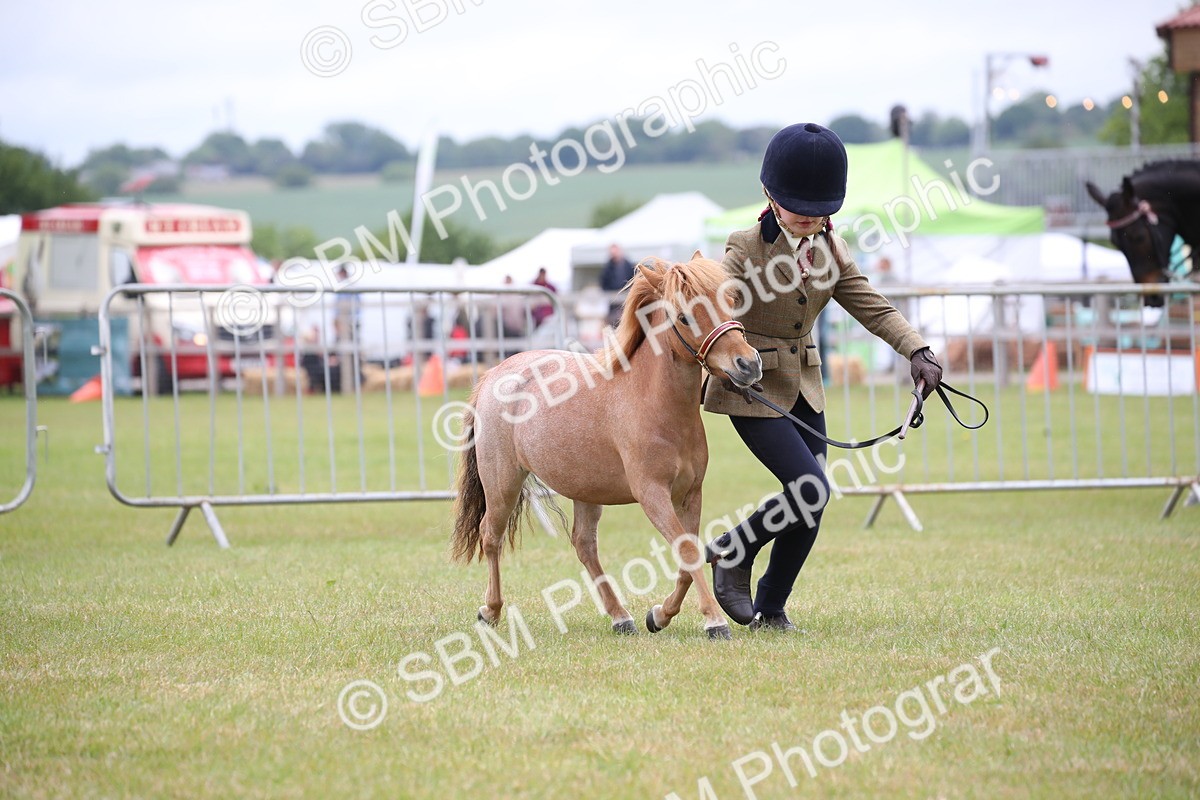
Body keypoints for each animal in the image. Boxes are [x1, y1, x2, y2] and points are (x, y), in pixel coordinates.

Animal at [450, 255, 763, 639]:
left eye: (730, 302)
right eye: (684, 317)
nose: (748, 364)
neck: (653, 402)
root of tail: (494, 374)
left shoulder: (690, 494)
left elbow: (688, 557)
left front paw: (660, 615)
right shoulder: (652, 494)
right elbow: (687, 552)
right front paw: (714, 621)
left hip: (585, 490)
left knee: (584, 545)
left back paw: (620, 616)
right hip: (502, 484)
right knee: (490, 536)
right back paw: (490, 610)